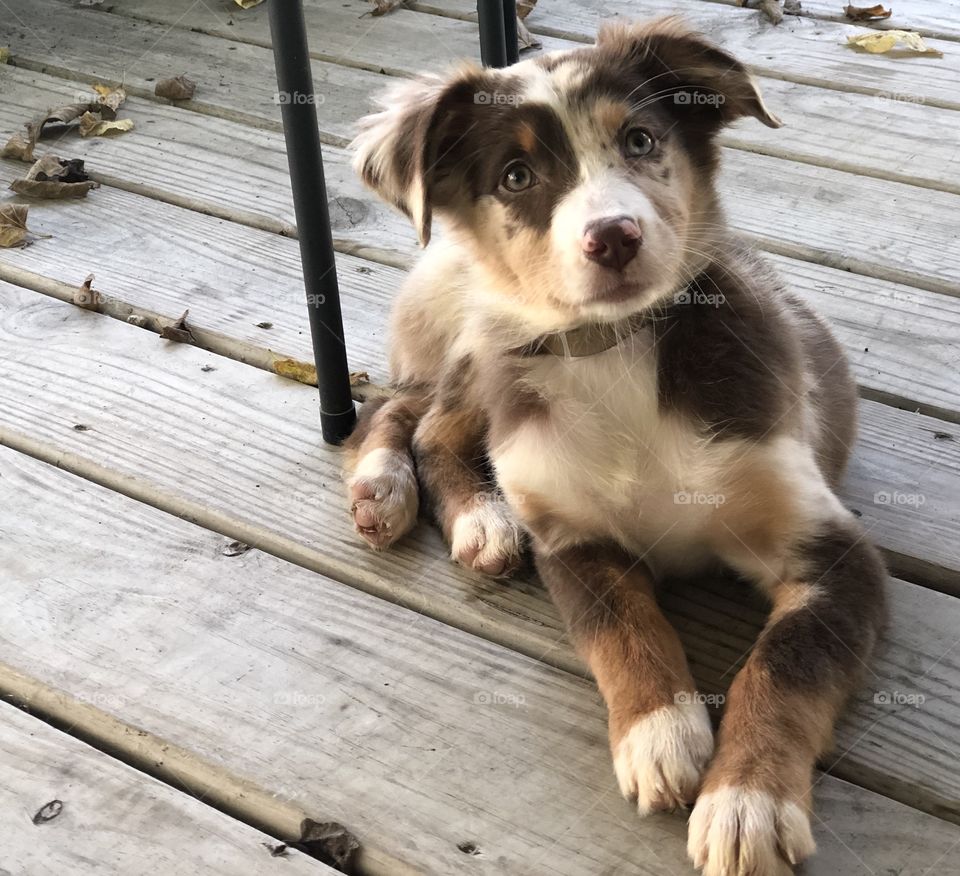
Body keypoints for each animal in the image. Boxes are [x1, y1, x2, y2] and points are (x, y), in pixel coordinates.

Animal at [344, 17, 884, 872]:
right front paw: (659, 733)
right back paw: (410, 496)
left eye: (640, 140)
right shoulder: (573, 538)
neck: (615, 348)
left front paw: (747, 802)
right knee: (403, 411)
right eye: (516, 176)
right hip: (478, 336)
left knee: (425, 419)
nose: (615, 238)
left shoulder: (833, 552)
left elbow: (787, 663)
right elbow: (622, 628)